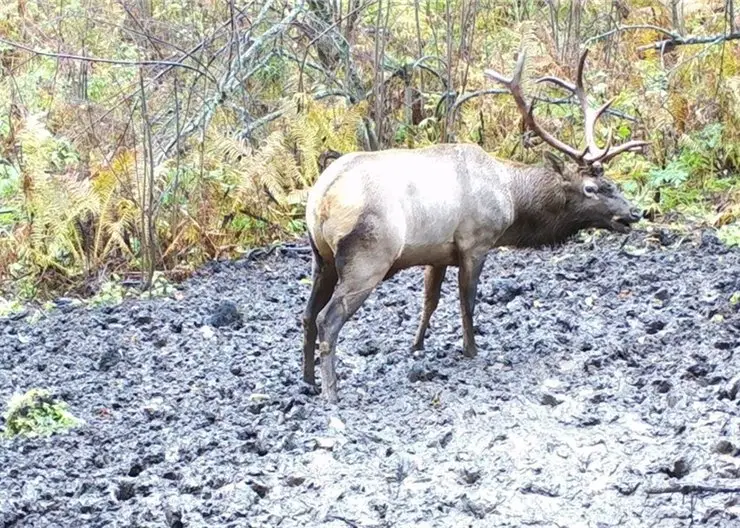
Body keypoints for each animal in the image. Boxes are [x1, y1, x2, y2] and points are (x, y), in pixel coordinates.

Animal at [300, 50, 648, 404]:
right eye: (591, 188)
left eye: (611, 182)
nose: (633, 213)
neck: (511, 200)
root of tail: (321, 198)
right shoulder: (475, 242)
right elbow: (467, 302)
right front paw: (471, 349)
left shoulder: (437, 253)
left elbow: (430, 301)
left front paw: (417, 345)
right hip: (367, 256)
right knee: (327, 319)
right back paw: (331, 391)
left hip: (321, 258)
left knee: (307, 315)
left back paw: (309, 380)